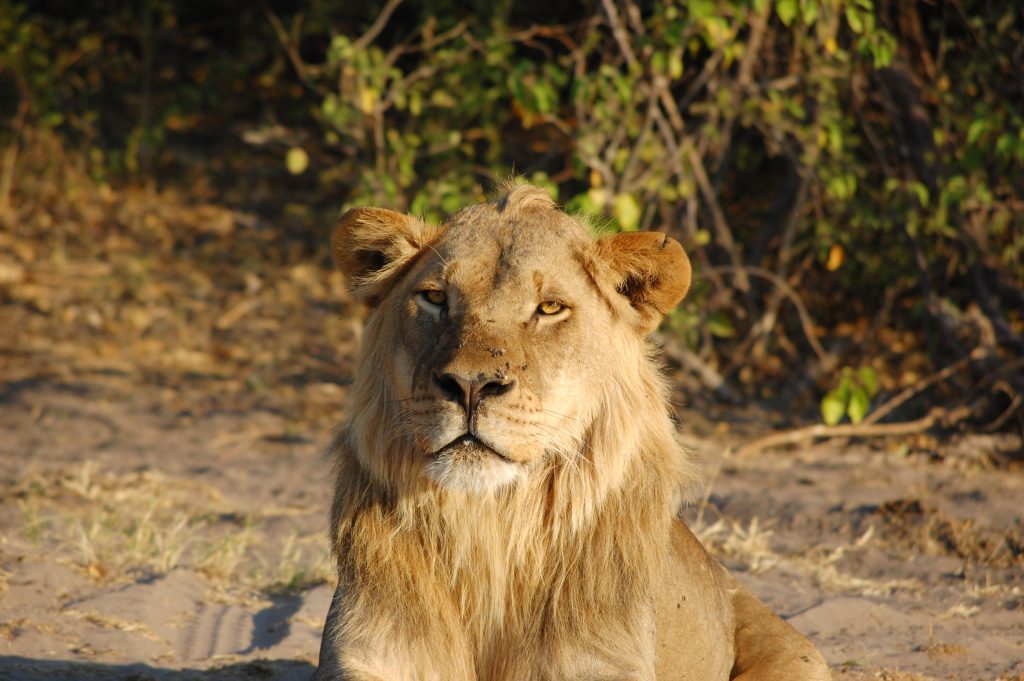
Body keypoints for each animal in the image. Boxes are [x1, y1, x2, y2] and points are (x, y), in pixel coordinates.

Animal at [313, 183, 831, 680]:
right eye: (435, 298)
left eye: (549, 308)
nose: (470, 385)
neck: (491, 529)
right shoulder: (364, 652)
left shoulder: (606, 660)